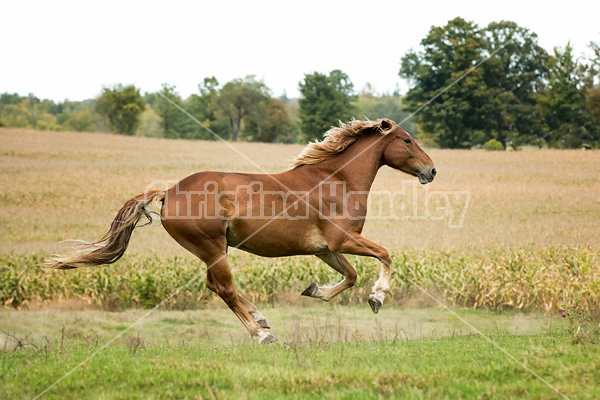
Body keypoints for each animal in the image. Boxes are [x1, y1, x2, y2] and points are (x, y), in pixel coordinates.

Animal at [43, 118, 436, 344]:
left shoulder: (326, 249)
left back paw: (261, 319)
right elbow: (385, 255)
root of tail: (168, 191)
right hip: (213, 248)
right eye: (407, 140)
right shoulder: (342, 240)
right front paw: (378, 297)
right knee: (225, 289)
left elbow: (351, 276)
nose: (431, 171)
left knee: (214, 286)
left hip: (213, 251)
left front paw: (315, 291)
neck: (337, 179)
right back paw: (261, 334)